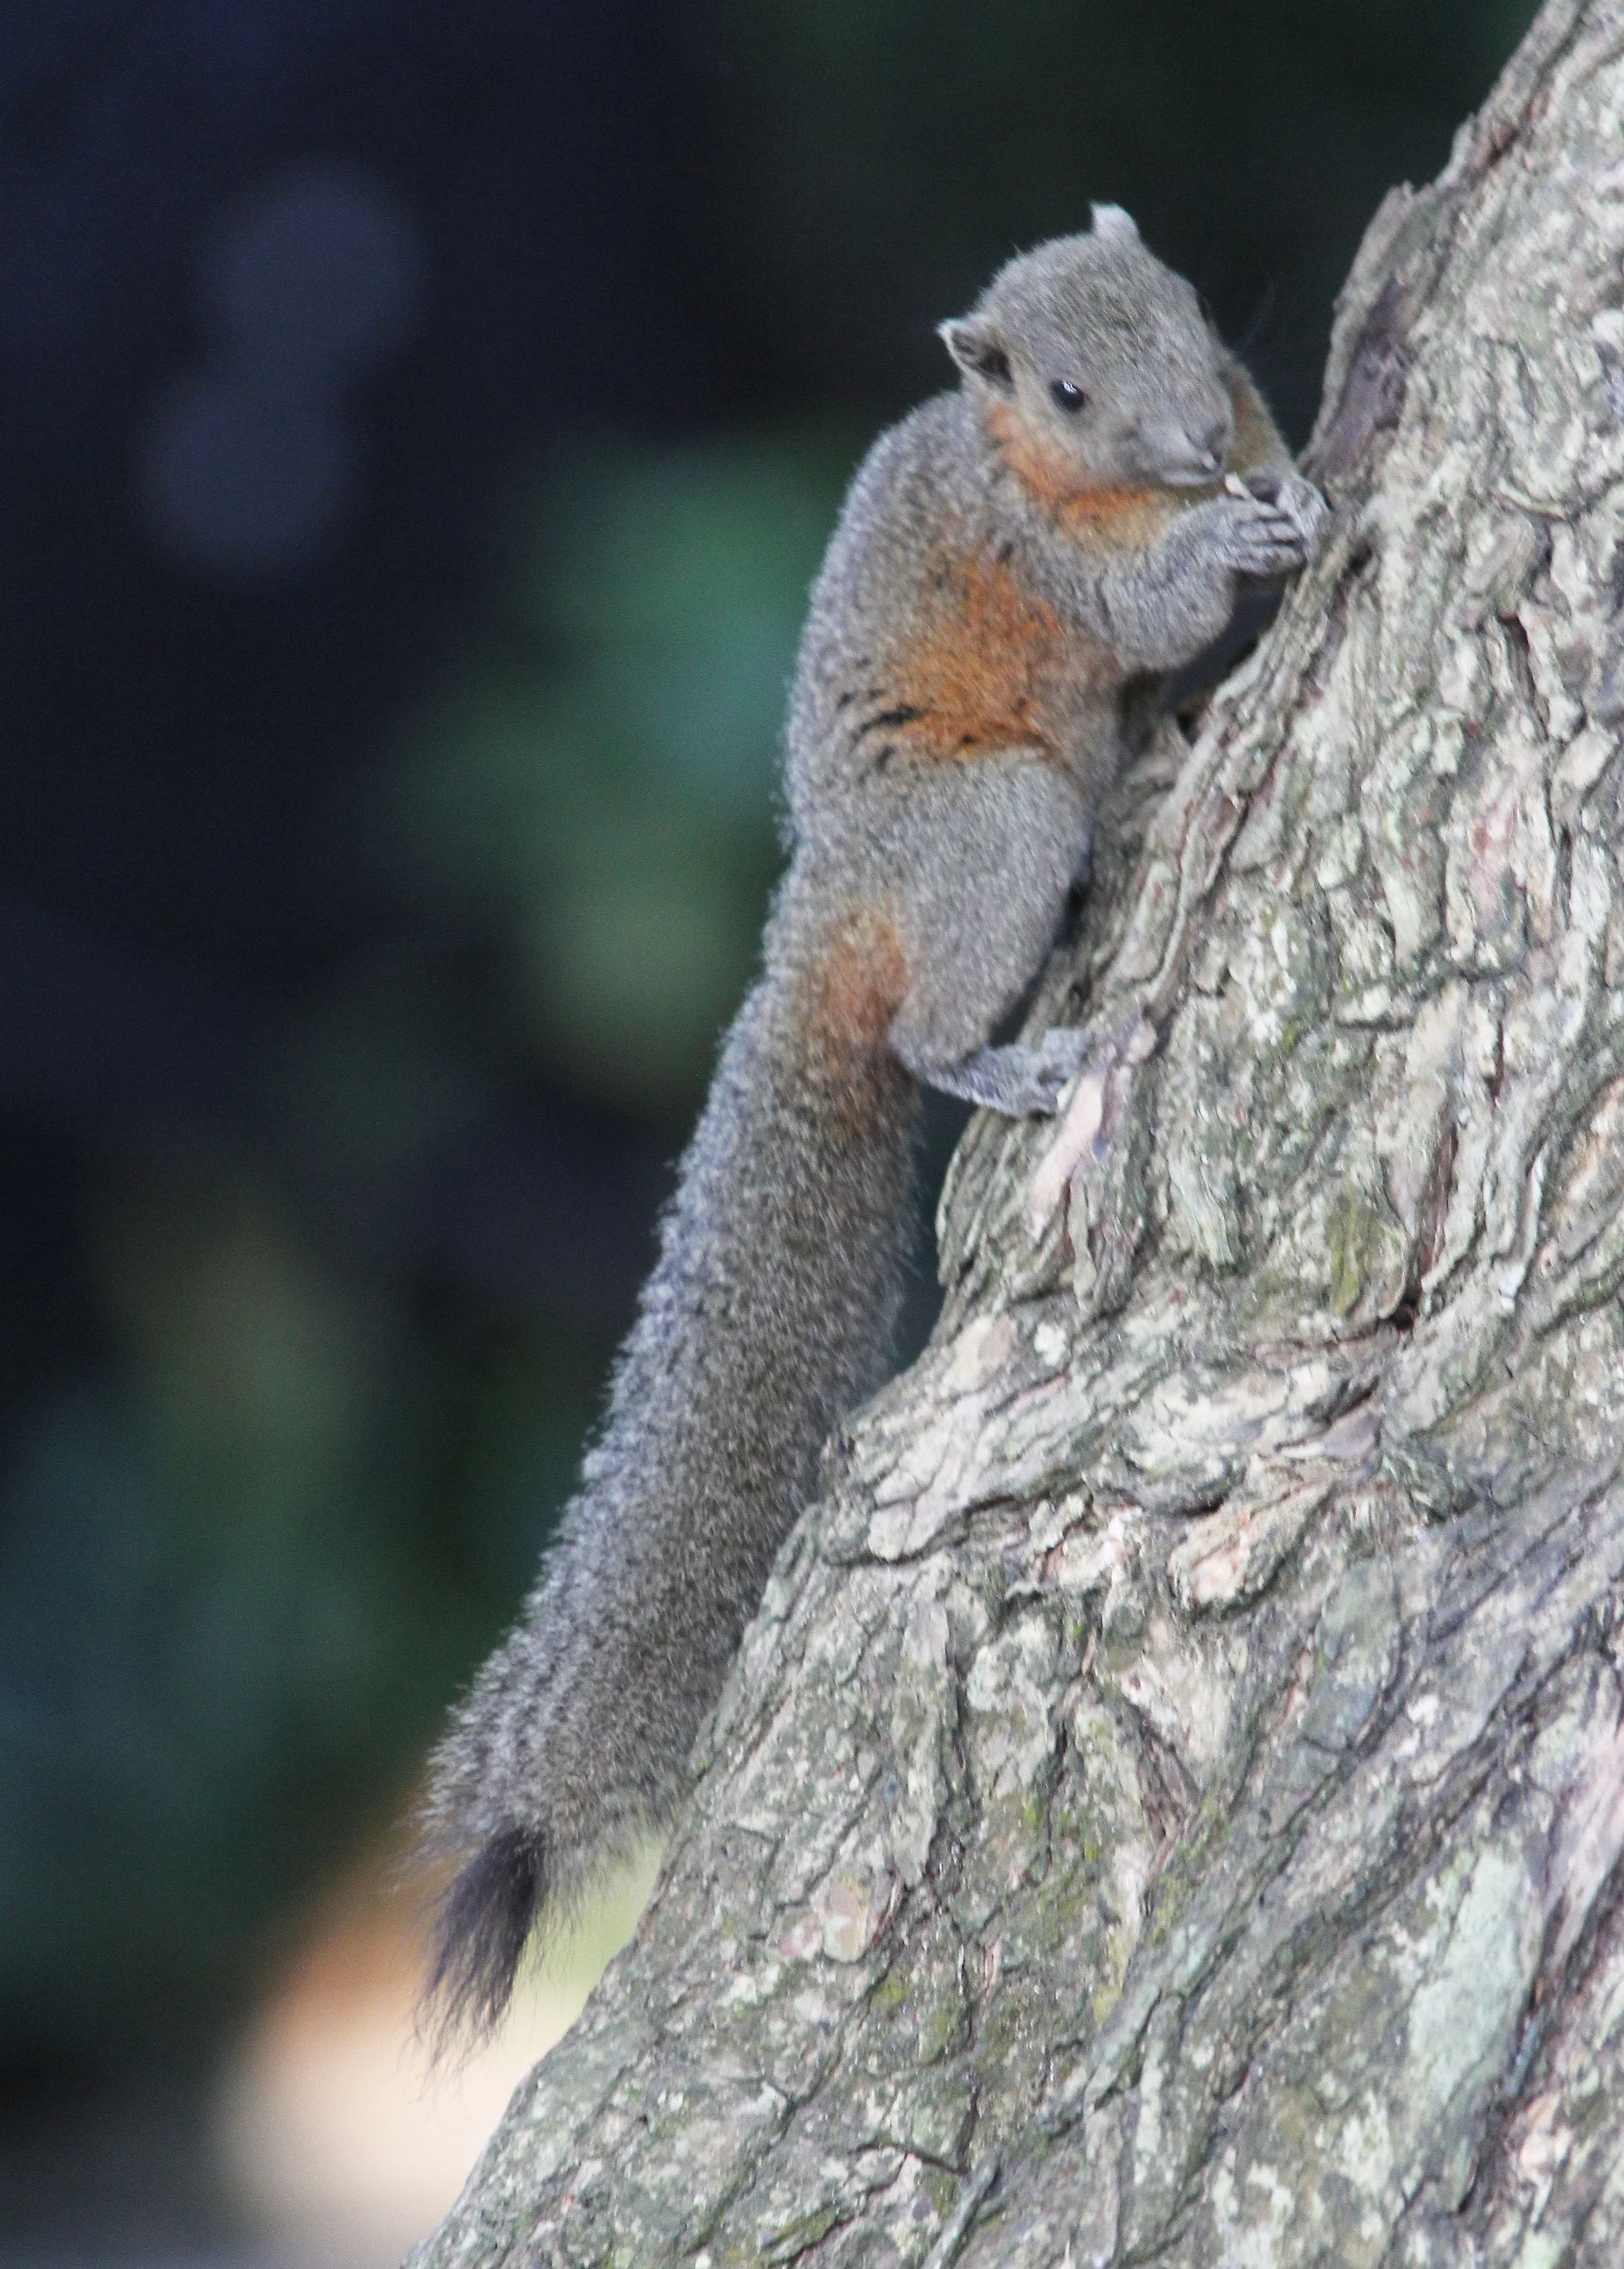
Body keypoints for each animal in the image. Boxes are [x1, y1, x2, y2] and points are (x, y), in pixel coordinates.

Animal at [421, 207, 1325, 2037]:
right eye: (1064, 391)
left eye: (1187, 305)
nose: (1198, 437)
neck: (1034, 469)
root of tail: (831, 915)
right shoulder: (1056, 562)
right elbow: (1148, 603)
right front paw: (1236, 535)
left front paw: (1299, 486)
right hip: (992, 825)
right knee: (920, 1030)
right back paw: (1006, 1060)